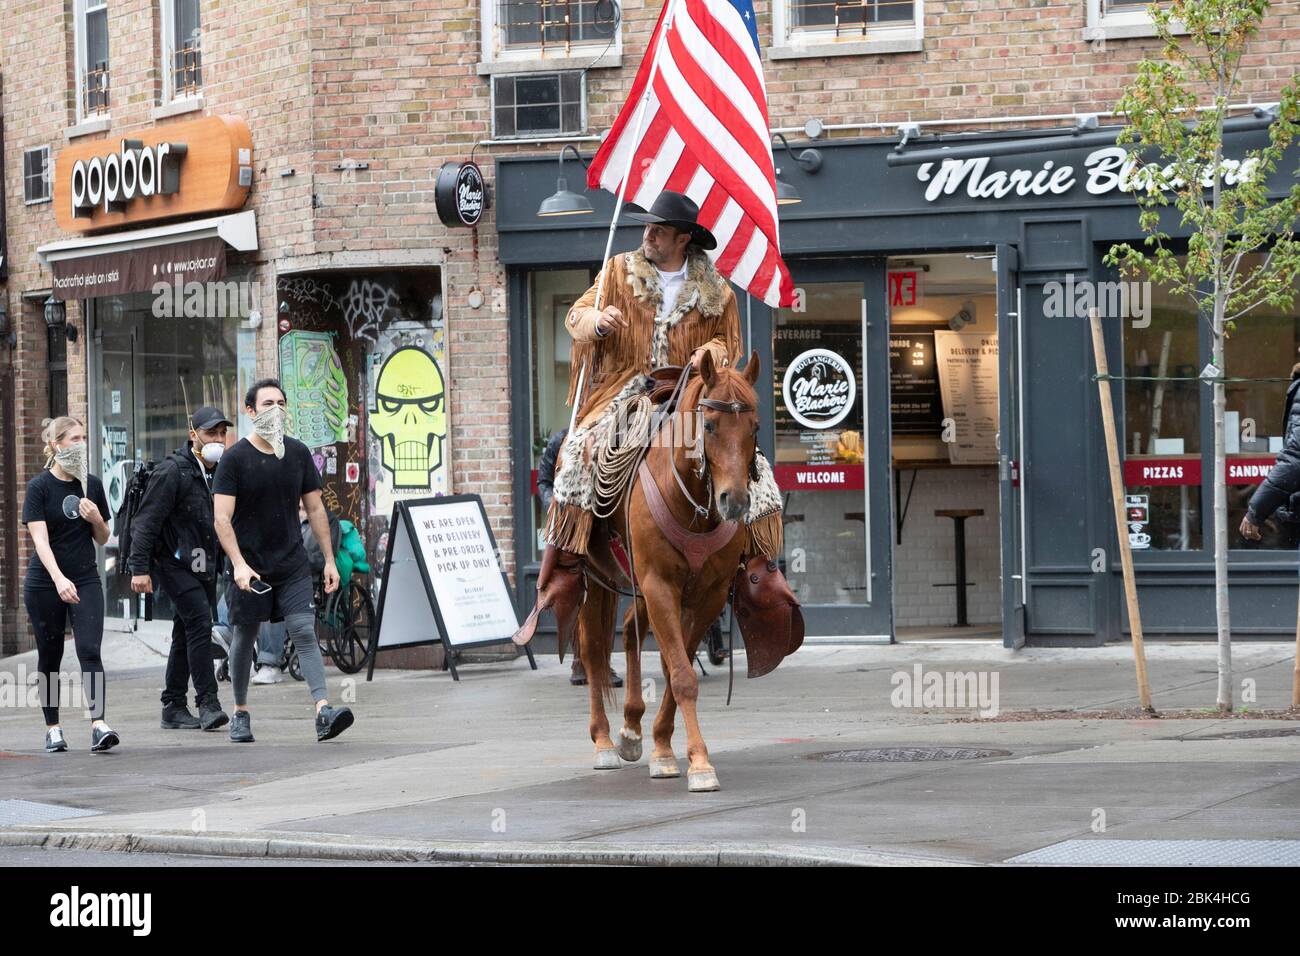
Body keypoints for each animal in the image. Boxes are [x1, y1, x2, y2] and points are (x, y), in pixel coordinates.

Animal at [579, 348, 759, 790]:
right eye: (708, 425)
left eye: (755, 426)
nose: (734, 501)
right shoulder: (660, 584)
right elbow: (681, 675)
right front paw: (700, 764)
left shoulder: (708, 594)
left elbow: (675, 665)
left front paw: (662, 747)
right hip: (595, 576)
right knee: (593, 649)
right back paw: (604, 741)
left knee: (629, 629)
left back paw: (630, 729)